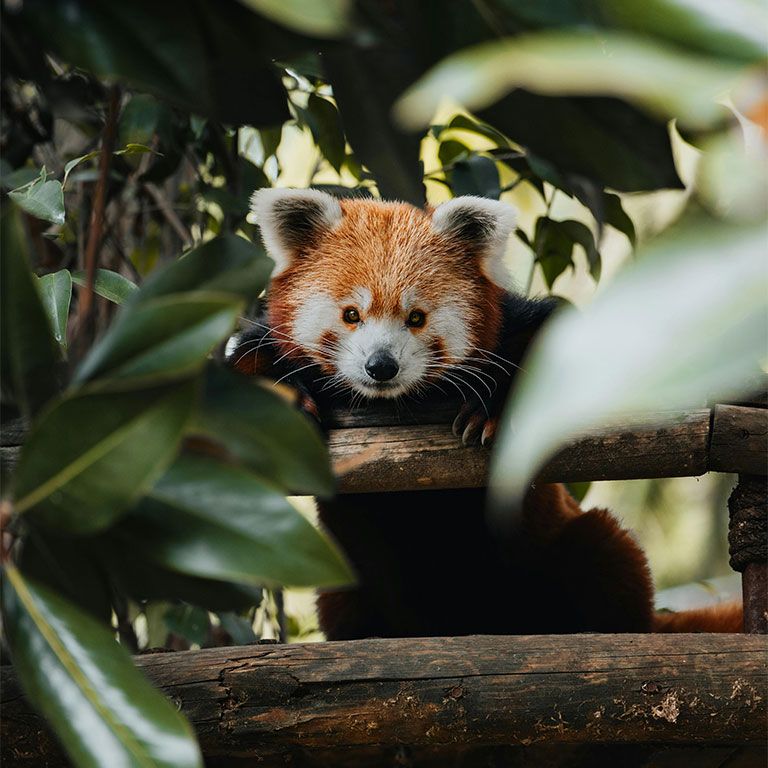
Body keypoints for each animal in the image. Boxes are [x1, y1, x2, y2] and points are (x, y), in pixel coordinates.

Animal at [230, 189, 744, 640]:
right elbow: (243, 367)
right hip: (349, 585)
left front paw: (492, 408)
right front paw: (284, 400)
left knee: (605, 549)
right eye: (351, 315)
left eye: (416, 318)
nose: (381, 366)